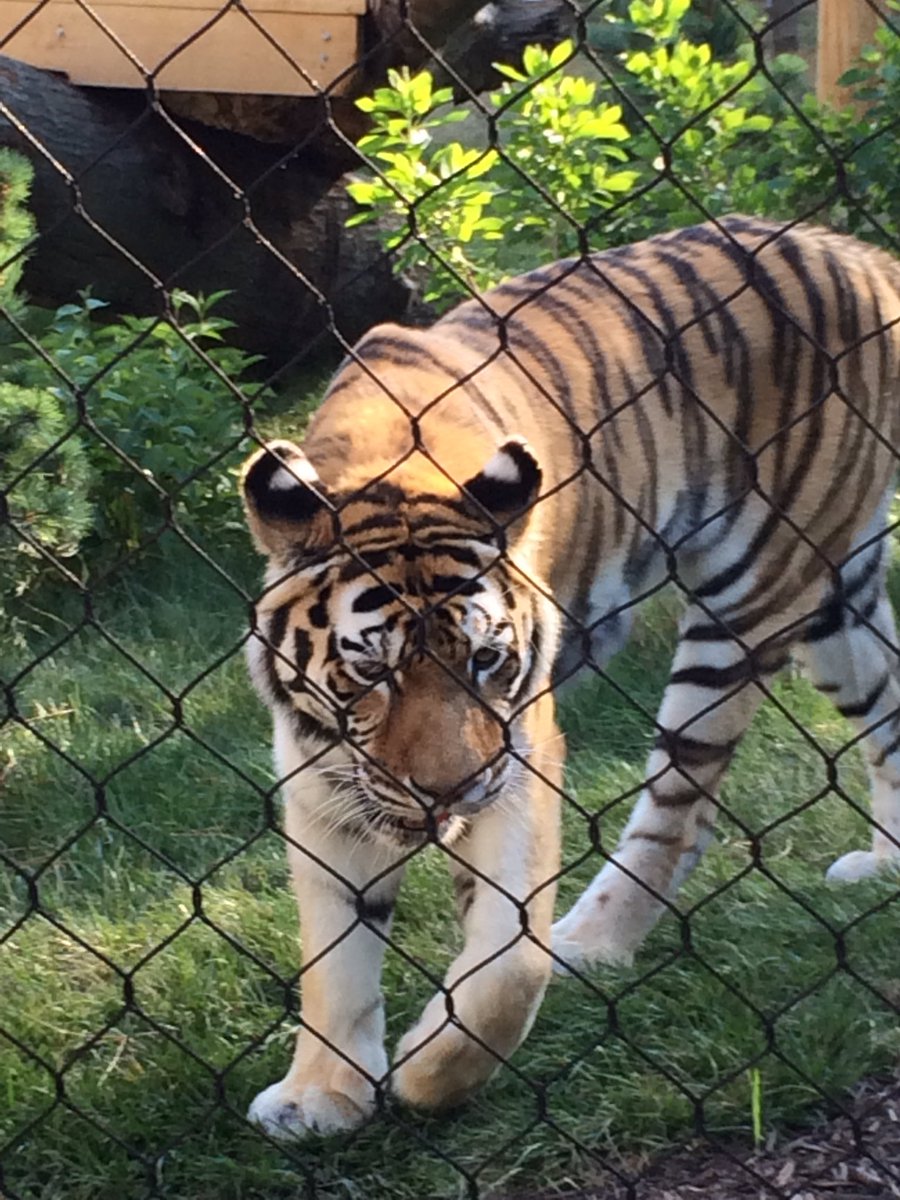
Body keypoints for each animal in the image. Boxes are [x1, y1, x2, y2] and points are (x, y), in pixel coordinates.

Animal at [240, 215, 900, 1139]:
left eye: (486, 660)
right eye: (369, 670)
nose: (445, 794)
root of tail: (861, 257)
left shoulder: (518, 754)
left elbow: (510, 962)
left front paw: (429, 1074)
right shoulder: (319, 768)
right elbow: (334, 947)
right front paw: (320, 1096)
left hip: (753, 594)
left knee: (680, 812)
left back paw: (593, 943)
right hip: (838, 599)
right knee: (890, 705)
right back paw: (887, 865)